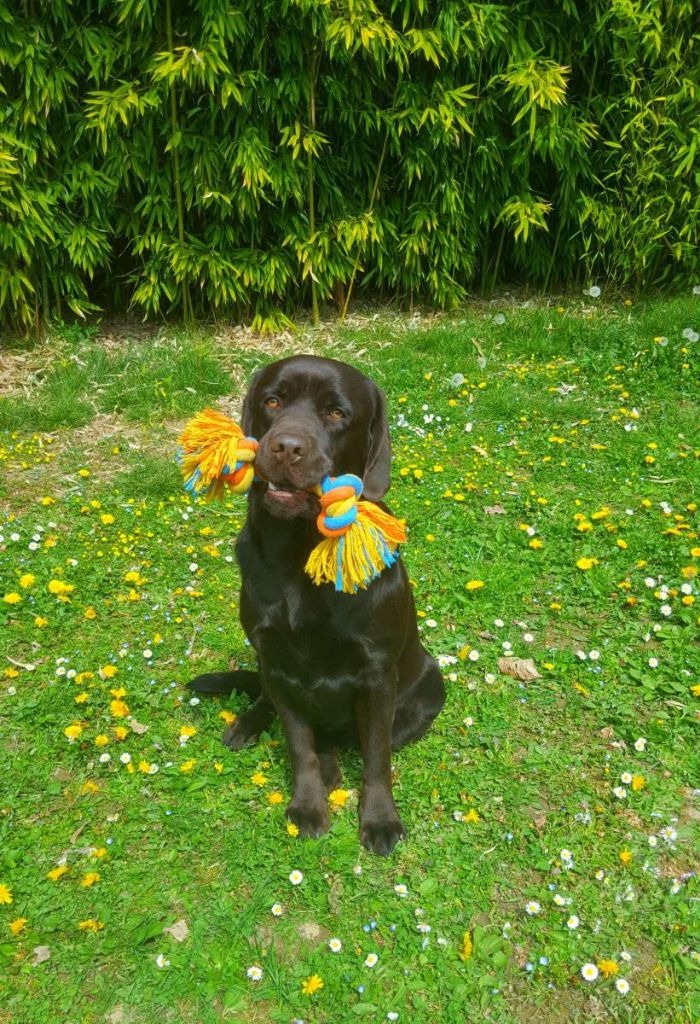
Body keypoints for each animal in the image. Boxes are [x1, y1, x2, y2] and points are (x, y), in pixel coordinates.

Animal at [187, 356, 442, 851]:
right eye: (272, 401)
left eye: (336, 413)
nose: (286, 447)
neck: (298, 552)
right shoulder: (276, 661)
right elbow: (299, 743)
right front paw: (306, 806)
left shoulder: (376, 673)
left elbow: (376, 756)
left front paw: (380, 819)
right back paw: (250, 726)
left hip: (430, 687)